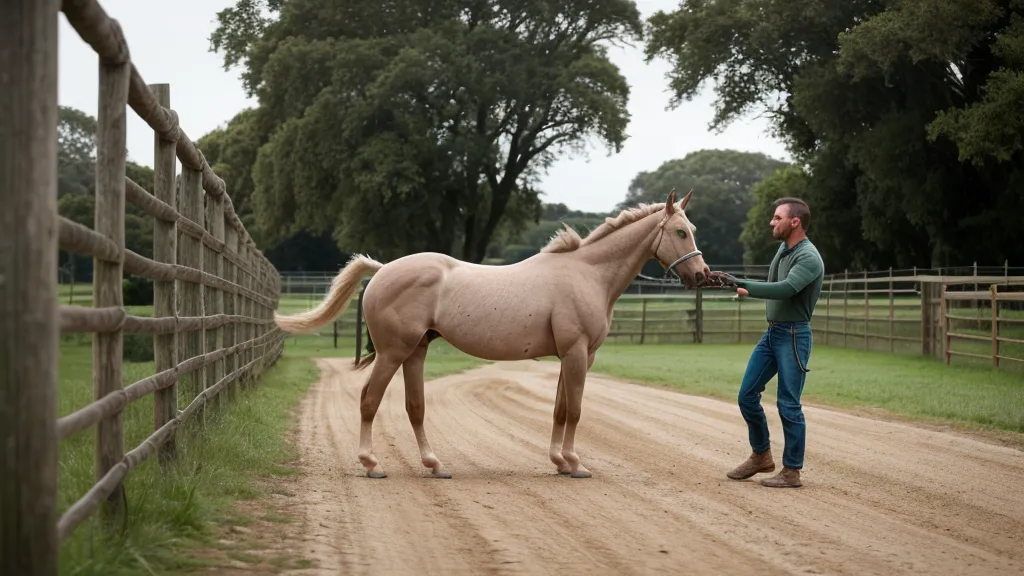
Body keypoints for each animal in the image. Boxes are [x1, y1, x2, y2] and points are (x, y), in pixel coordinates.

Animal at [273, 188, 711, 479]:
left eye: (692, 228)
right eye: (680, 232)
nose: (701, 274)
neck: (586, 274)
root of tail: (382, 270)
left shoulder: (571, 356)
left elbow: (559, 409)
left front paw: (559, 462)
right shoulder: (577, 354)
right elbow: (574, 410)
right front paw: (575, 464)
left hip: (416, 352)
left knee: (415, 408)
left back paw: (434, 465)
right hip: (393, 353)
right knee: (369, 400)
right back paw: (371, 464)